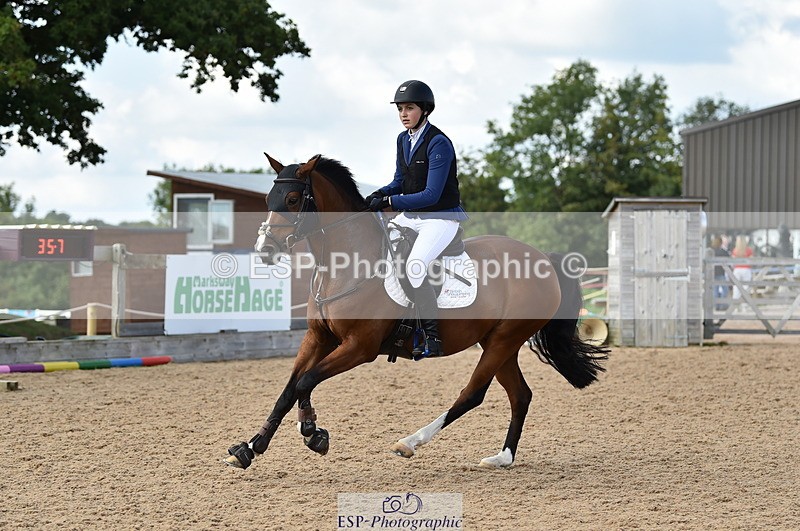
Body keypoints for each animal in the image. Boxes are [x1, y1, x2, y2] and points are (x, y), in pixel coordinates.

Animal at [223, 153, 608, 470]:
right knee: (520, 395)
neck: (346, 264)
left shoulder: (359, 347)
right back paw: (502, 457)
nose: (264, 250)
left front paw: (312, 430)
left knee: (473, 394)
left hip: (504, 340)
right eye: (268, 200)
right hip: (498, 342)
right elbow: (289, 389)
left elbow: (306, 381)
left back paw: (410, 442)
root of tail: (544, 258)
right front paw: (250, 448)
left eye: (292, 200)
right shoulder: (318, 338)